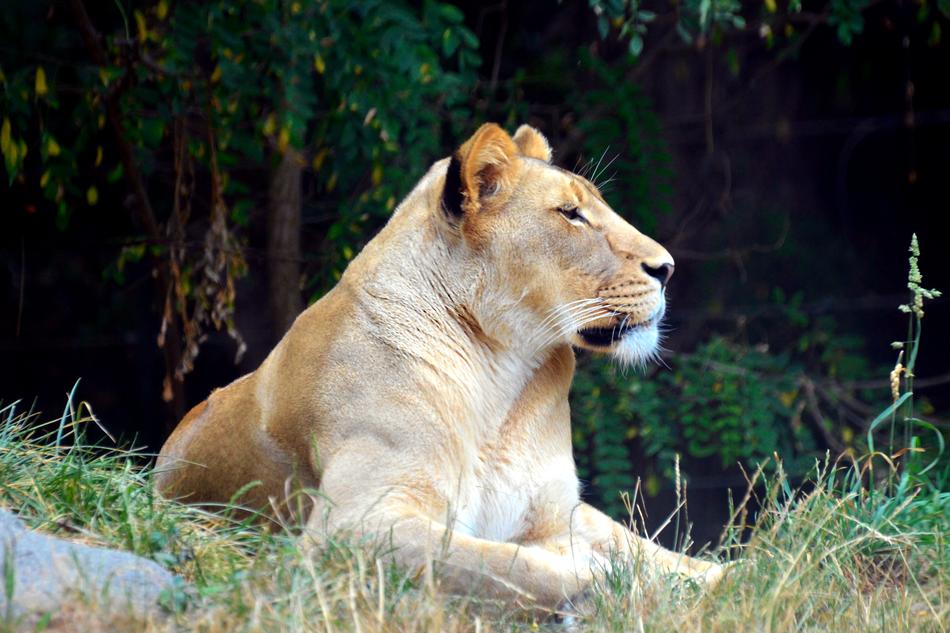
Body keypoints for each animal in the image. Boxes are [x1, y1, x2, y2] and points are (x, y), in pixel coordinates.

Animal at [156, 123, 727, 609]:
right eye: (570, 213)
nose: (667, 268)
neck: (503, 376)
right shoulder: (355, 525)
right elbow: (515, 568)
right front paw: (624, 590)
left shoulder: (555, 510)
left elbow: (649, 552)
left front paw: (729, 578)